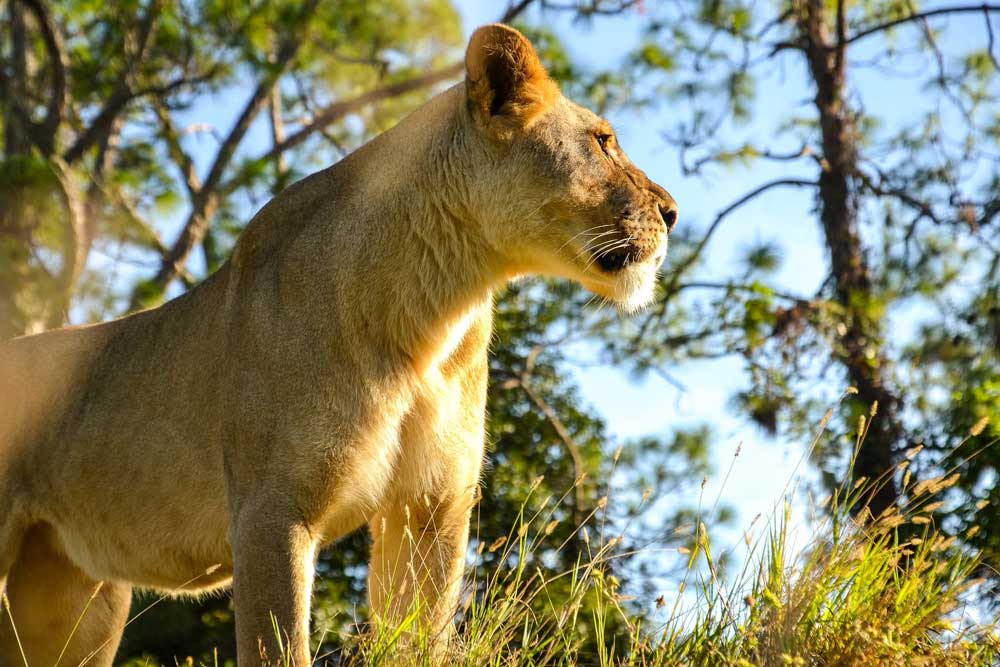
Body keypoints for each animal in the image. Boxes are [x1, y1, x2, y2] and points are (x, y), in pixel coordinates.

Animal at [0, 24, 677, 666]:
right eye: (603, 141)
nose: (671, 212)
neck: (436, 307)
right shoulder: (272, 513)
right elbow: (278, 649)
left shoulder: (431, 508)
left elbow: (421, 639)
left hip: (78, 603)